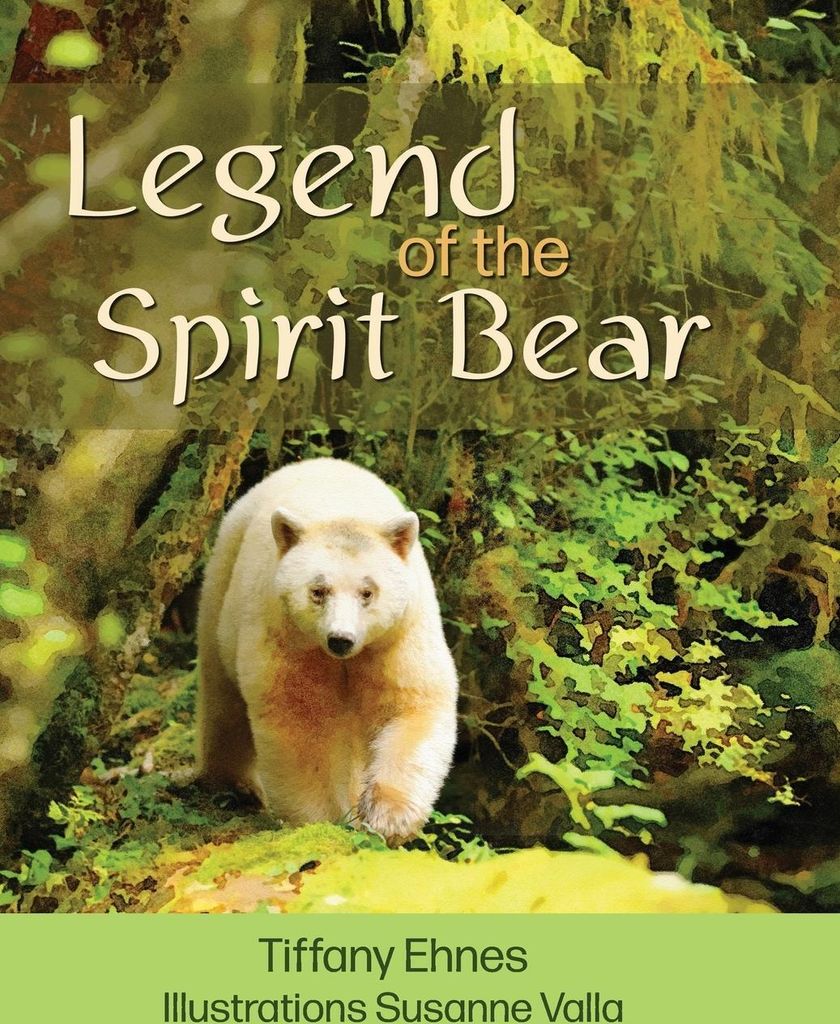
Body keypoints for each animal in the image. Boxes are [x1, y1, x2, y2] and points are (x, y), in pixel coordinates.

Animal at [196, 457, 458, 844]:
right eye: (318, 590)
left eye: (368, 591)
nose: (340, 639)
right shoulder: (287, 638)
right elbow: (298, 724)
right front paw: (322, 821)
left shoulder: (397, 637)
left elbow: (412, 704)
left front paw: (387, 817)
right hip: (223, 583)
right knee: (222, 696)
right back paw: (233, 785)